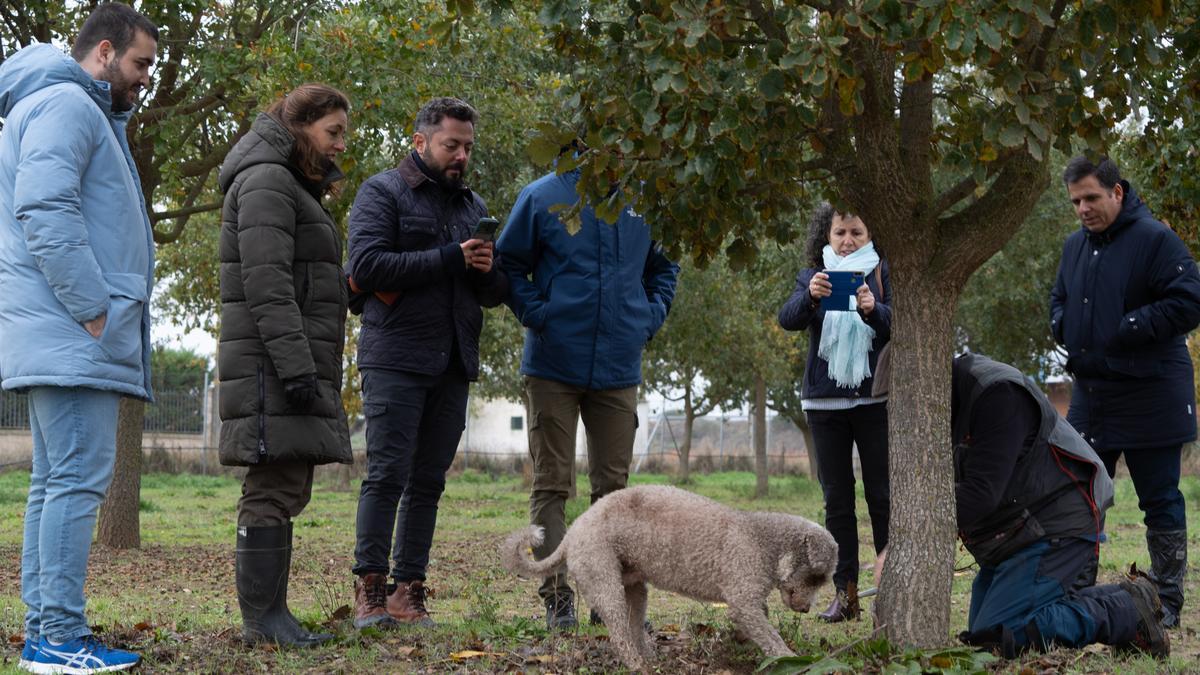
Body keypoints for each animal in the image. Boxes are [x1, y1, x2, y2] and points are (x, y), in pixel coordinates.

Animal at [501, 482, 840, 667]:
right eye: (815, 577)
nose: (806, 609)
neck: (763, 540)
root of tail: (573, 532)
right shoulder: (743, 598)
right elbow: (770, 636)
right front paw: (787, 657)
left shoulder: (749, 600)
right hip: (604, 578)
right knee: (619, 634)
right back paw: (636, 664)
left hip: (634, 587)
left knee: (633, 626)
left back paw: (650, 657)